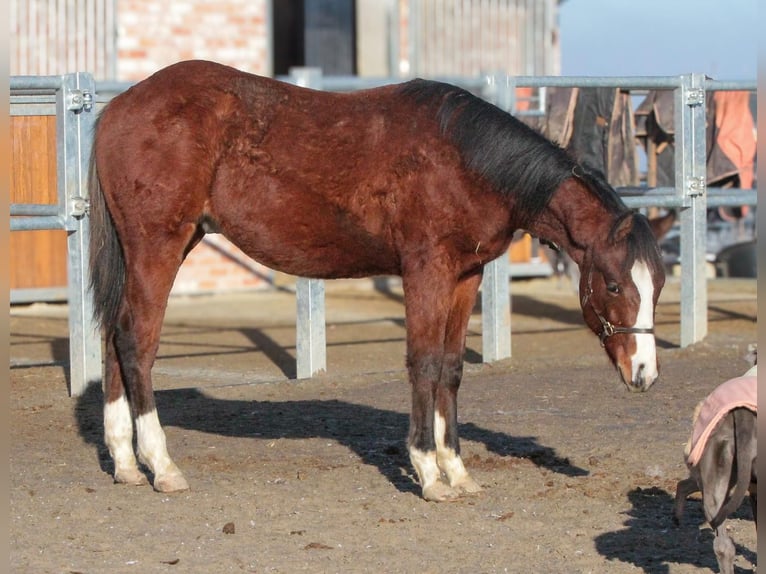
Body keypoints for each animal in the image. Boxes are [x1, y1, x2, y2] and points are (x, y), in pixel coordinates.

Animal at [88, 59, 664, 504]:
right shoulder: (426, 269)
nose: (645, 374)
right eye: (615, 285)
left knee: (114, 334)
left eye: (656, 287)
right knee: (136, 341)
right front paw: (429, 473)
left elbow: (451, 368)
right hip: (159, 245)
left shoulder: (465, 275)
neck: (463, 159)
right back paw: (162, 466)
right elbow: (424, 363)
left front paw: (458, 471)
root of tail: (119, 108)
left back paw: (125, 463)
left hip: (164, 245)